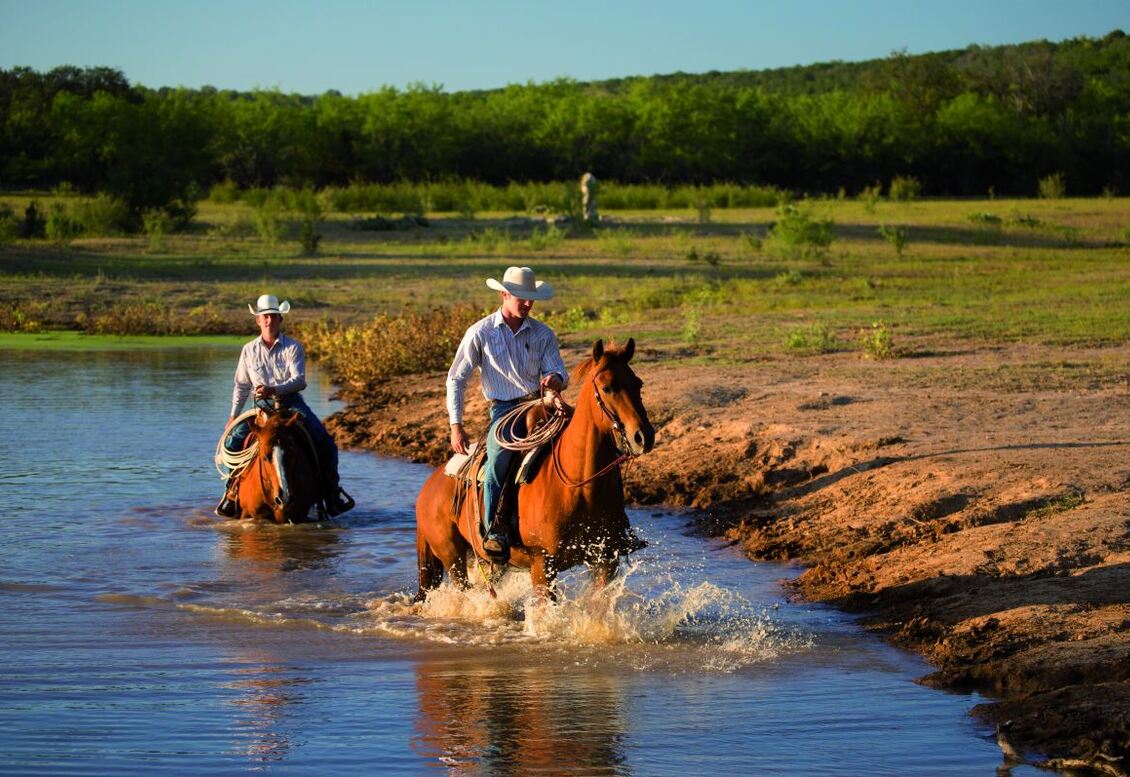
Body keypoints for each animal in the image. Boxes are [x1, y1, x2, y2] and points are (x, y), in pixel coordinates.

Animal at [413, 338, 655, 600]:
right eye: (607, 387)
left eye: (638, 384)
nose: (643, 436)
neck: (578, 486)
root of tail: (428, 488)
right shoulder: (542, 565)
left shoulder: (605, 560)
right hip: (453, 558)